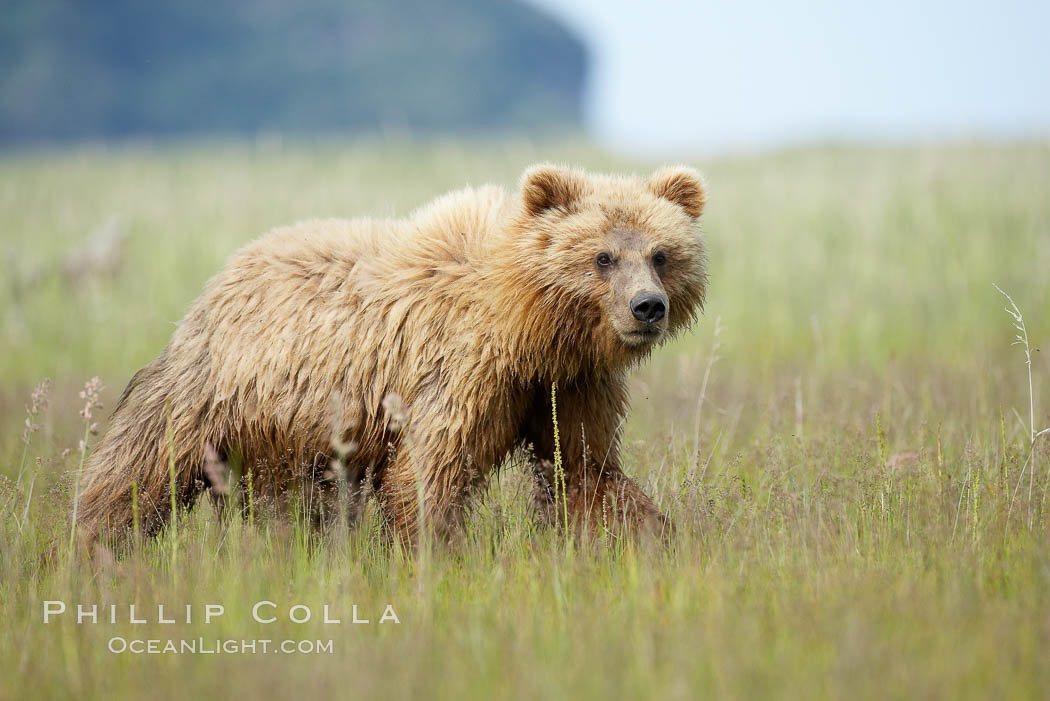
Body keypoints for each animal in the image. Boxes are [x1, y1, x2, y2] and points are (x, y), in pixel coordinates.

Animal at [77, 162, 709, 541]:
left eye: (660, 254)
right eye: (603, 257)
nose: (647, 307)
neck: (529, 329)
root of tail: (218, 282)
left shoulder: (567, 384)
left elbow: (586, 468)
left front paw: (657, 538)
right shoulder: (463, 371)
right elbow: (429, 473)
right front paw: (438, 553)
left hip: (279, 437)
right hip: (213, 392)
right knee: (135, 473)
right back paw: (95, 545)